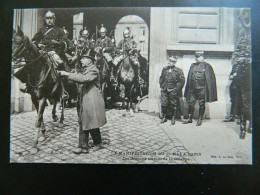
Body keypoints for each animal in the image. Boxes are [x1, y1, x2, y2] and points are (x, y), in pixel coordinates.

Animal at [12, 26, 64, 154]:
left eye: (19, 42)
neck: (37, 71)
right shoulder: (34, 98)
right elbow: (40, 117)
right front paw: (43, 134)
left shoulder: (42, 98)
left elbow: (38, 120)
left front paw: (35, 145)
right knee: (55, 101)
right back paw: (54, 116)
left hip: (63, 87)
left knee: (63, 100)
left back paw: (61, 120)